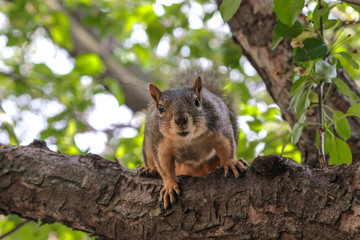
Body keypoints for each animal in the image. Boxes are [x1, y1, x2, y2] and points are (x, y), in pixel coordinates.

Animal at [136, 70, 246, 209]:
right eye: (160, 108)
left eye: (197, 102)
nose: (180, 119)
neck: (187, 139)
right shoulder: (158, 142)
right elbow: (164, 166)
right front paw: (169, 185)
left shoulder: (219, 124)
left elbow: (227, 146)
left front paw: (230, 163)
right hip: (147, 145)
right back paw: (149, 169)